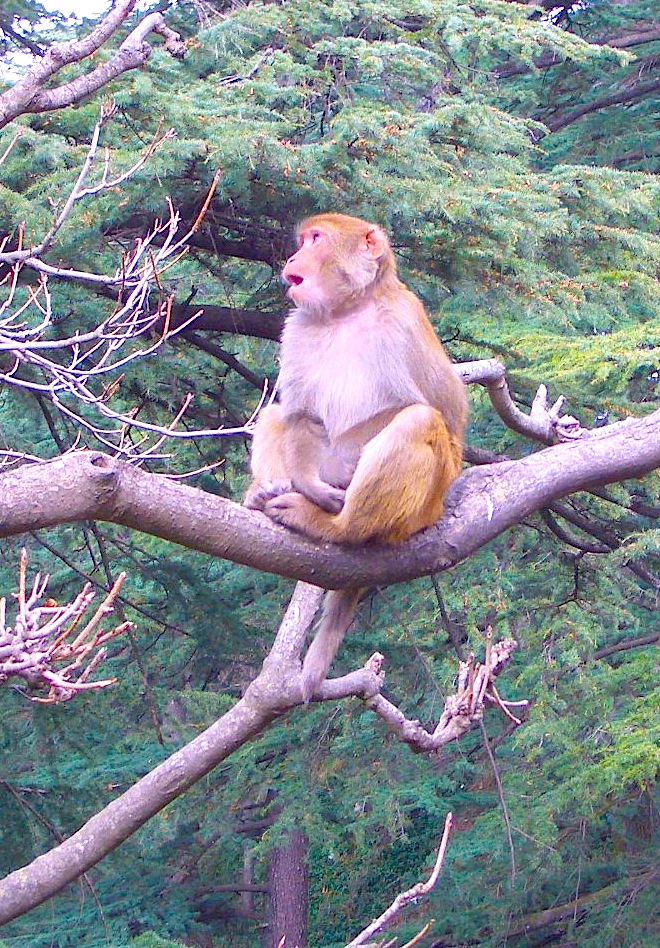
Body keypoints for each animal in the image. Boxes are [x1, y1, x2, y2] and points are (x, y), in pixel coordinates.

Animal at [244, 213, 467, 700]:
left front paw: (324, 481)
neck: (348, 312)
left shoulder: (402, 323)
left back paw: (336, 525)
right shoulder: (297, 327)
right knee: (277, 414)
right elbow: (300, 416)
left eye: (316, 240)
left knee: (417, 421)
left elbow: (438, 413)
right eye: (303, 240)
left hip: (420, 510)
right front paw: (300, 477)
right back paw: (265, 493)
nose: (292, 258)